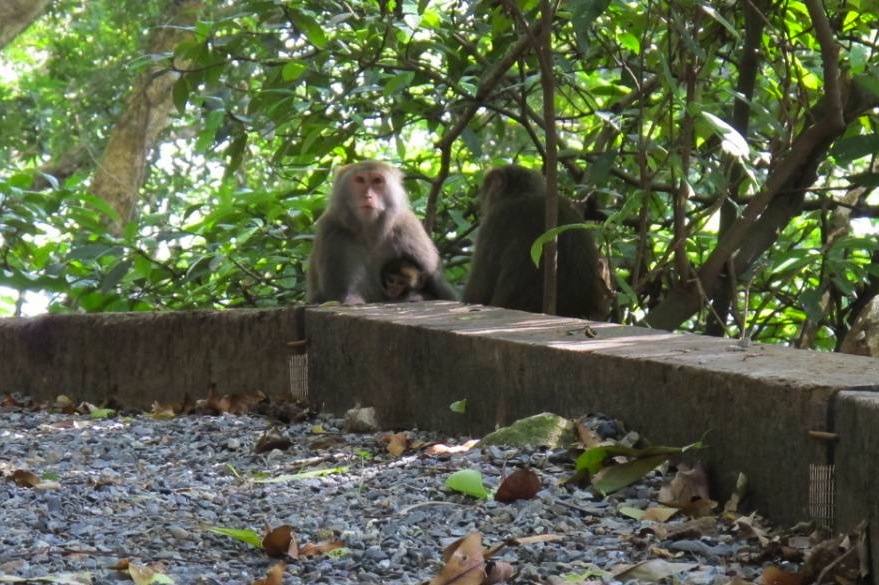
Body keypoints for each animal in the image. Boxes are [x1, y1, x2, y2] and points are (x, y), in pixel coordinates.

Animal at [308, 161, 460, 306]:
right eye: (360, 180)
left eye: (377, 181)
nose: (368, 196)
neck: (369, 231)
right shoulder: (330, 232)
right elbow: (334, 294)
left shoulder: (408, 229)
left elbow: (440, 286)